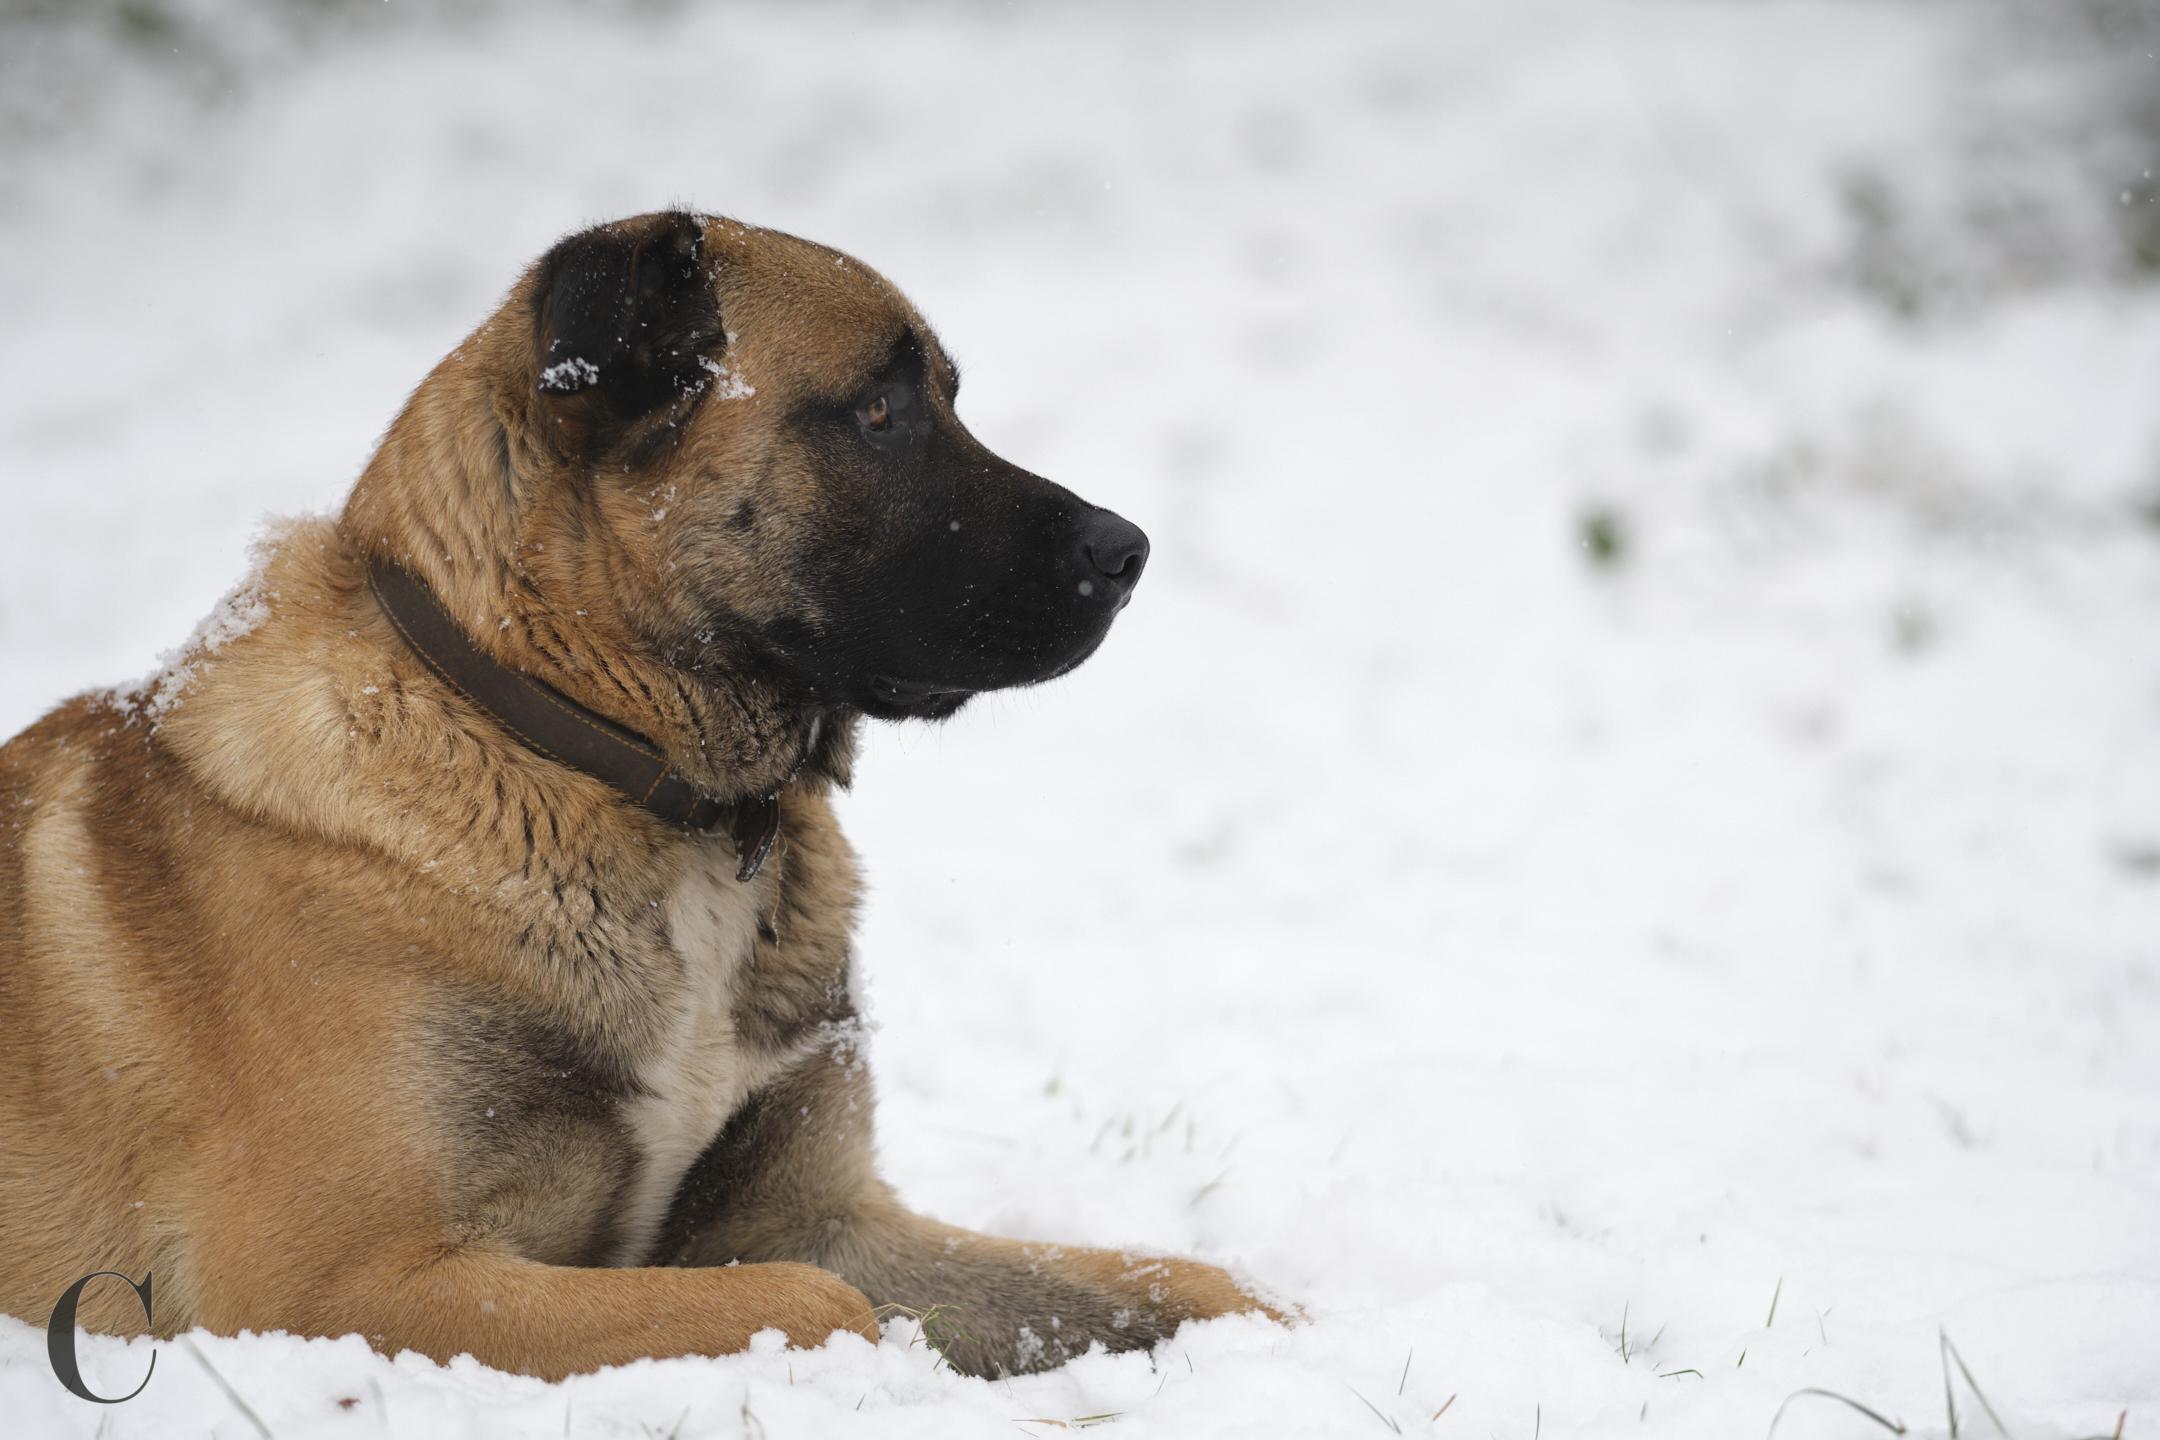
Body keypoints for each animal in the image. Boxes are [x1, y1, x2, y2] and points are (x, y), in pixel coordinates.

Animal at [0, 208, 1270, 1381]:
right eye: (877, 410)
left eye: (947, 399)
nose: (1129, 551)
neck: (580, 756)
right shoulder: (336, 1285)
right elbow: (821, 1306)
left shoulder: (817, 1212)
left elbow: (1179, 1281)